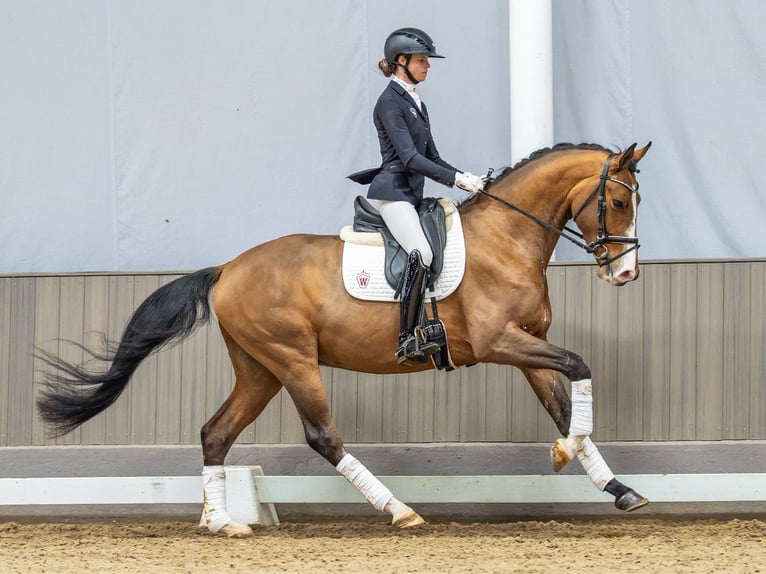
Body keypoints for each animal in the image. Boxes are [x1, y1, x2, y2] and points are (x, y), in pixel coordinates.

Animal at [37, 141, 652, 538]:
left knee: (217, 432)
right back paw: (399, 510)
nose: (625, 275)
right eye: (619, 202)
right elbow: (580, 365)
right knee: (323, 436)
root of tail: (229, 267)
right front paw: (568, 454)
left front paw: (616, 486)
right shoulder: (498, 342)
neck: (506, 238)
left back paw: (222, 522)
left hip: (259, 369)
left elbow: (564, 402)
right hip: (292, 360)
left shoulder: (527, 345)